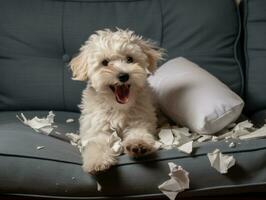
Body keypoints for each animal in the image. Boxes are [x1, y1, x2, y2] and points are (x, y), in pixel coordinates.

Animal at [69, 28, 163, 173]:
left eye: (130, 59)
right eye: (104, 62)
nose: (123, 76)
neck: (118, 107)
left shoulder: (140, 120)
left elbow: (139, 132)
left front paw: (138, 145)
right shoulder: (98, 127)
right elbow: (97, 143)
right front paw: (98, 161)